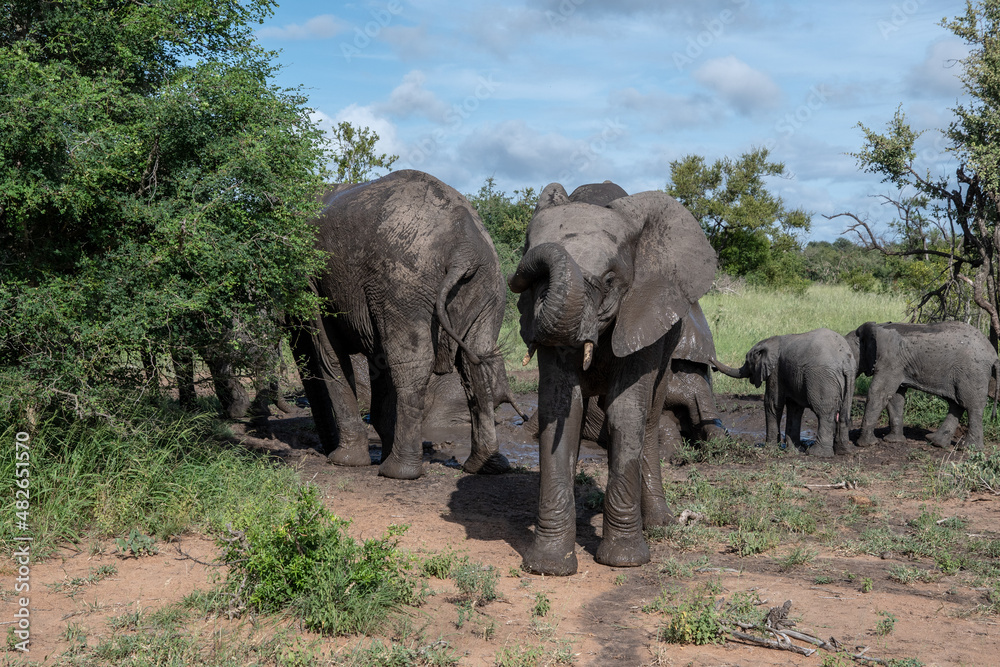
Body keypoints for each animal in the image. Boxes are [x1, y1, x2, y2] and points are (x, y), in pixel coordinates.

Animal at [289, 169, 515, 479]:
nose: (323, 449)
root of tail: (465, 245)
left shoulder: (314, 280)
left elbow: (330, 356)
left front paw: (343, 461)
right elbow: (378, 361)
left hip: (403, 280)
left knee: (411, 364)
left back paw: (398, 472)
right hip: (488, 283)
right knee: (478, 360)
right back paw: (485, 466)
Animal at [508, 181, 717, 575]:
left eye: (608, 281)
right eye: (536, 281)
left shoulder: (644, 311)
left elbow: (625, 412)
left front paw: (625, 561)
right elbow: (561, 409)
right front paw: (549, 567)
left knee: (649, 419)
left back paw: (659, 524)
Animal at [711, 328, 858, 458]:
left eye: (748, 362)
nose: (712, 364)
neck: (771, 340)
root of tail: (845, 361)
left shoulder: (776, 370)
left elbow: (773, 403)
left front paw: (769, 449)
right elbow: (795, 408)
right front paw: (794, 450)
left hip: (823, 379)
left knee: (824, 413)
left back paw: (817, 454)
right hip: (849, 380)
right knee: (844, 414)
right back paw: (843, 451)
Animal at [846, 321, 1000, 450]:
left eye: (848, 357)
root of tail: (994, 355)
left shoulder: (890, 361)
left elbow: (878, 392)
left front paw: (867, 444)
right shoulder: (898, 365)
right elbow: (895, 398)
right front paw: (893, 441)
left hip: (973, 371)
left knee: (971, 406)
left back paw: (968, 449)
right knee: (957, 403)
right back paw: (936, 442)